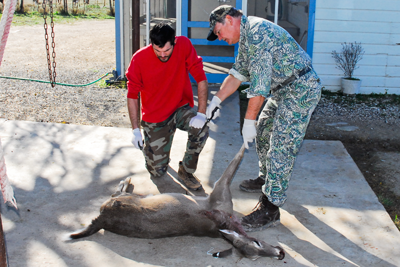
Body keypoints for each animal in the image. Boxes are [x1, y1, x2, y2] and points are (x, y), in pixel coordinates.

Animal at [67, 147, 284, 262]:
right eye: (256, 243)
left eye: (256, 255)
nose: (280, 254)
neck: (224, 226)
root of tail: (102, 219)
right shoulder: (220, 192)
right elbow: (235, 161)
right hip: (122, 200)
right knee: (116, 191)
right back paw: (126, 180)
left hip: (121, 202)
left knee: (116, 192)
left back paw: (126, 181)